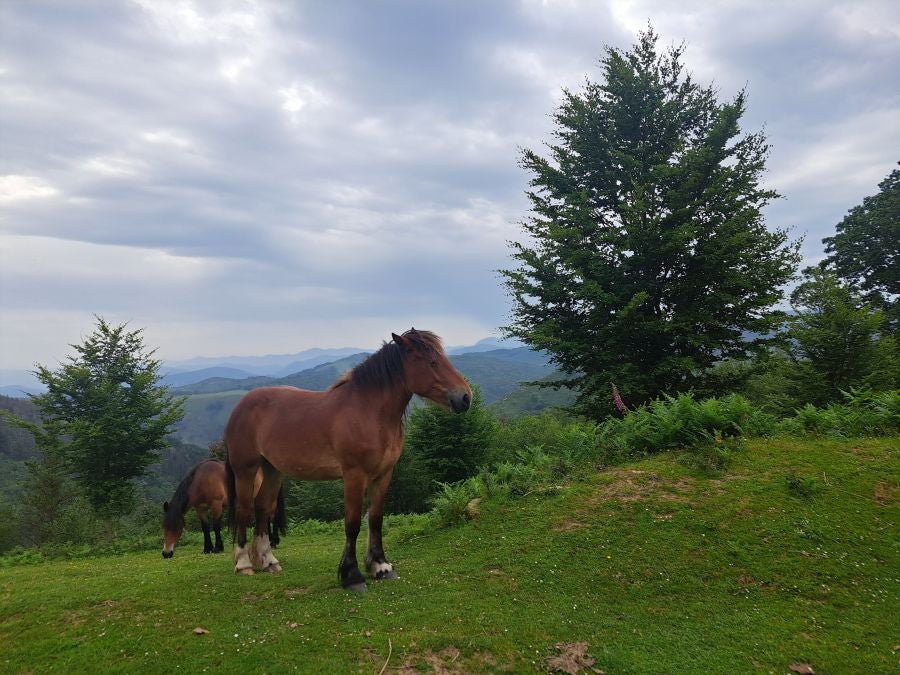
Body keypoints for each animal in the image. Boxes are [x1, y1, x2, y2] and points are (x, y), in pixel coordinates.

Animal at [225, 328, 472, 592]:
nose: (465, 397)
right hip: (246, 470)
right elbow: (352, 523)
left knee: (263, 507)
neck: (368, 412)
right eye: (432, 362)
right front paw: (352, 575)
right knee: (243, 510)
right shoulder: (355, 475)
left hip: (272, 470)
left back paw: (268, 561)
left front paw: (381, 566)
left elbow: (375, 519)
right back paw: (243, 564)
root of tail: (241, 406)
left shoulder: (383, 474)